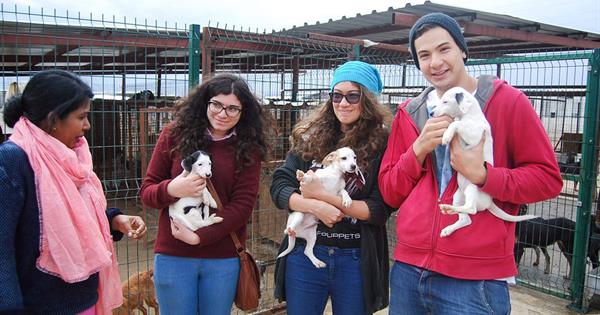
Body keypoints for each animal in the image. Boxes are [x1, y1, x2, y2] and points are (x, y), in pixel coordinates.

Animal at [428, 86, 536, 237]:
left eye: (445, 101)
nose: (431, 113)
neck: (469, 116)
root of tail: (489, 203)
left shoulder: (474, 135)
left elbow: (456, 123)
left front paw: (447, 135)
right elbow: (456, 122)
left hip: (472, 188)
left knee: (471, 208)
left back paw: (450, 209)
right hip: (458, 195)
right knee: (466, 219)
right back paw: (449, 223)